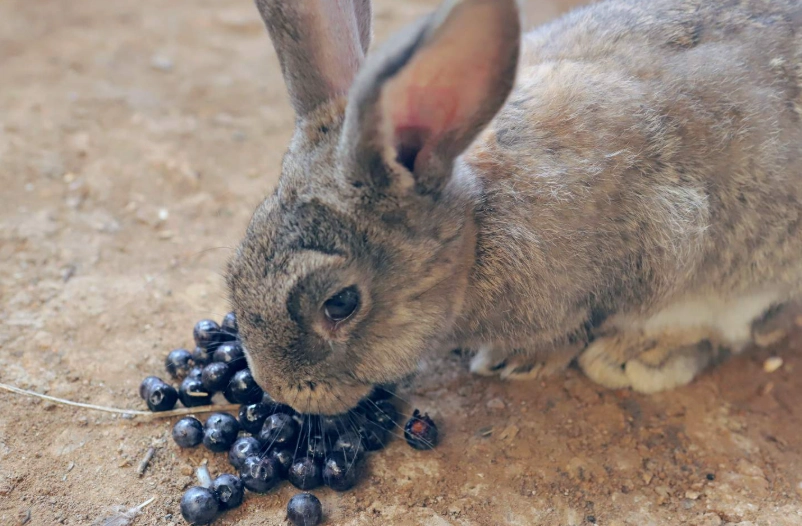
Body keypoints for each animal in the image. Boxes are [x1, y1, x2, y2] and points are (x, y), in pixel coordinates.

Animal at [226, 0, 802, 415]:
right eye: (234, 267)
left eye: (340, 304)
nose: (277, 389)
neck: (478, 231)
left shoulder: (672, 241)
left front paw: (533, 358)